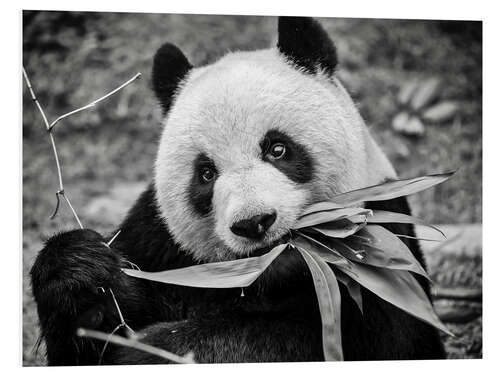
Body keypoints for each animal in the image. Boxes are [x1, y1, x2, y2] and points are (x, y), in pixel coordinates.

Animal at [30, 16, 446, 366]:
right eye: (206, 173)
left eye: (277, 149)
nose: (254, 222)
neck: (267, 274)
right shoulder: (158, 242)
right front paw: (83, 271)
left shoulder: (380, 250)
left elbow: (378, 338)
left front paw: (155, 350)